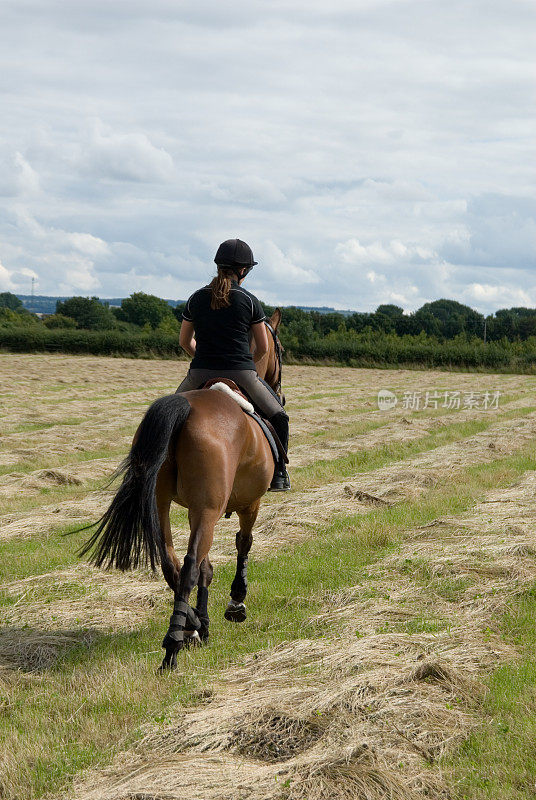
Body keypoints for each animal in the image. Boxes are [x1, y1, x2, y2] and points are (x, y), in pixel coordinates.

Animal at [81, 310, 284, 672]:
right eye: (281, 349)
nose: (280, 389)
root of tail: (185, 410)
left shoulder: (195, 509)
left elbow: (206, 567)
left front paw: (202, 623)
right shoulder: (249, 503)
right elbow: (243, 544)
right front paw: (236, 604)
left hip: (163, 503)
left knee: (171, 562)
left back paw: (189, 627)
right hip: (208, 509)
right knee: (188, 565)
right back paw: (174, 646)